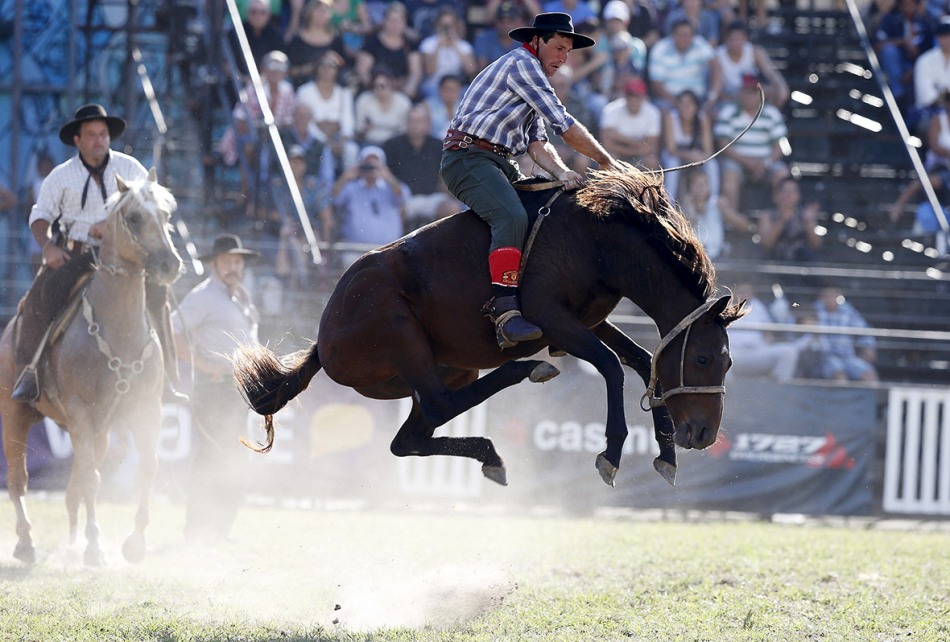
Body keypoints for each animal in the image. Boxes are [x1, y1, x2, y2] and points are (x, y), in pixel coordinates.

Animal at [0, 171, 181, 564]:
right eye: (133, 217)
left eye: (166, 214)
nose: (169, 264)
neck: (118, 328)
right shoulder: (81, 411)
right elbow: (91, 479)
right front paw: (96, 546)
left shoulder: (146, 410)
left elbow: (147, 467)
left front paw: (135, 542)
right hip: (15, 414)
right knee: (20, 480)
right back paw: (26, 542)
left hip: (98, 430)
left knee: (74, 485)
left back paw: (70, 541)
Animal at [234, 165, 748, 484]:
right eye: (704, 357)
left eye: (727, 364)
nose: (704, 434)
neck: (599, 239)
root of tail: (323, 341)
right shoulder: (551, 318)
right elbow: (611, 367)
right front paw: (611, 454)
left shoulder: (591, 320)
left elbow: (642, 362)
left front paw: (665, 452)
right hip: (400, 332)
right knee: (440, 404)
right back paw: (528, 372)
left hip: (447, 369)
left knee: (411, 437)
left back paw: (491, 455)